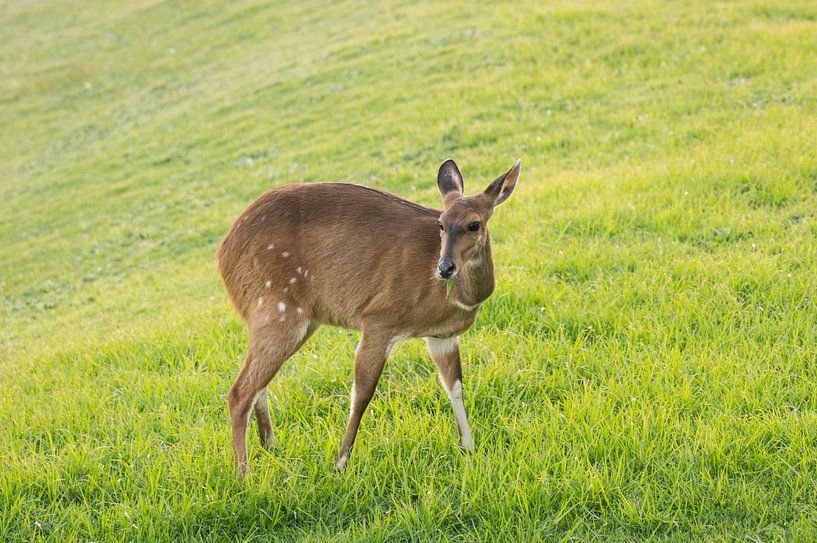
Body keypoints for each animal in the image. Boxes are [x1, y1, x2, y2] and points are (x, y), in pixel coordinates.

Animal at [217, 157, 520, 476]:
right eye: (441, 223)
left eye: (474, 224)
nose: (445, 267)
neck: (455, 297)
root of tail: (223, 253)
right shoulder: (379, 321)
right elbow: (362, 393)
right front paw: (340, 463)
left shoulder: (442, 337)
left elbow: (455, 386)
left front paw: (469, 448)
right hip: (279, 311)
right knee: (239, 392)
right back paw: (243, 475)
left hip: (296, 320)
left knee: (257, 384)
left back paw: (271, 447)